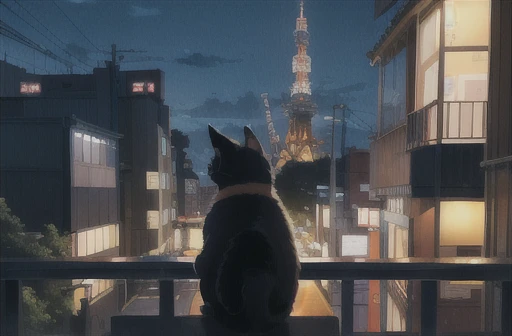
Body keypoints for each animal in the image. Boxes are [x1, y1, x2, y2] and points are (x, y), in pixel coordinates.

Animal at [195, 125, 300, 334]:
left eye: (213, 162)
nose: (208, 168)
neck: (249, 187)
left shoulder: (210, 237)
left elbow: (202, 261)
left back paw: (210, 310)